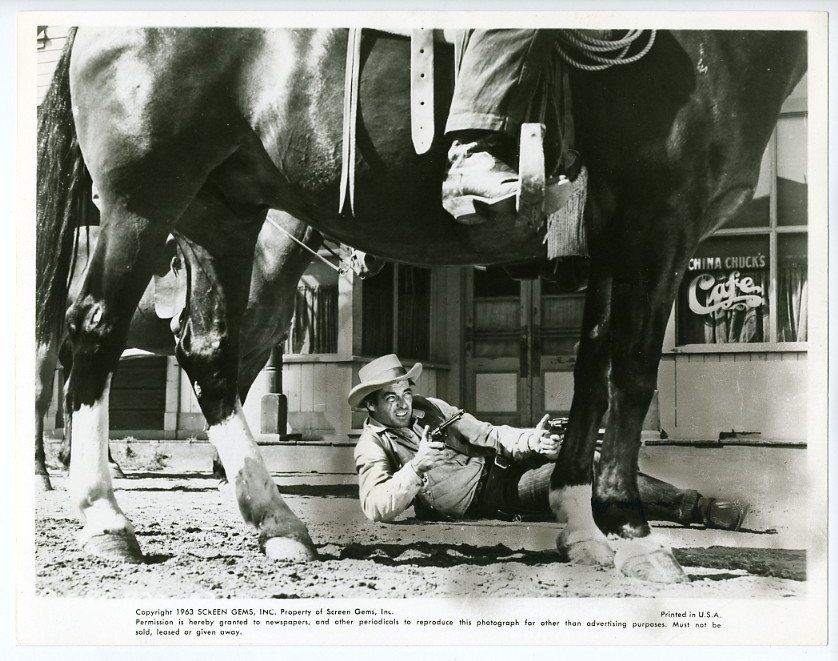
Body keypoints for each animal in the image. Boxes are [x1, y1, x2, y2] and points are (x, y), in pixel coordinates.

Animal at [37, 28, 808, 580]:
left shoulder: (614, 240)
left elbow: (592, 374)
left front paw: (580, 521)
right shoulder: (658, 225)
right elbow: (634, 374)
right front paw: (634, 533)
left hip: (216, 213)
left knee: (207, 355)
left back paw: (276, 522)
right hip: (145, 201)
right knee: (93, 333)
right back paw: (106, 517)